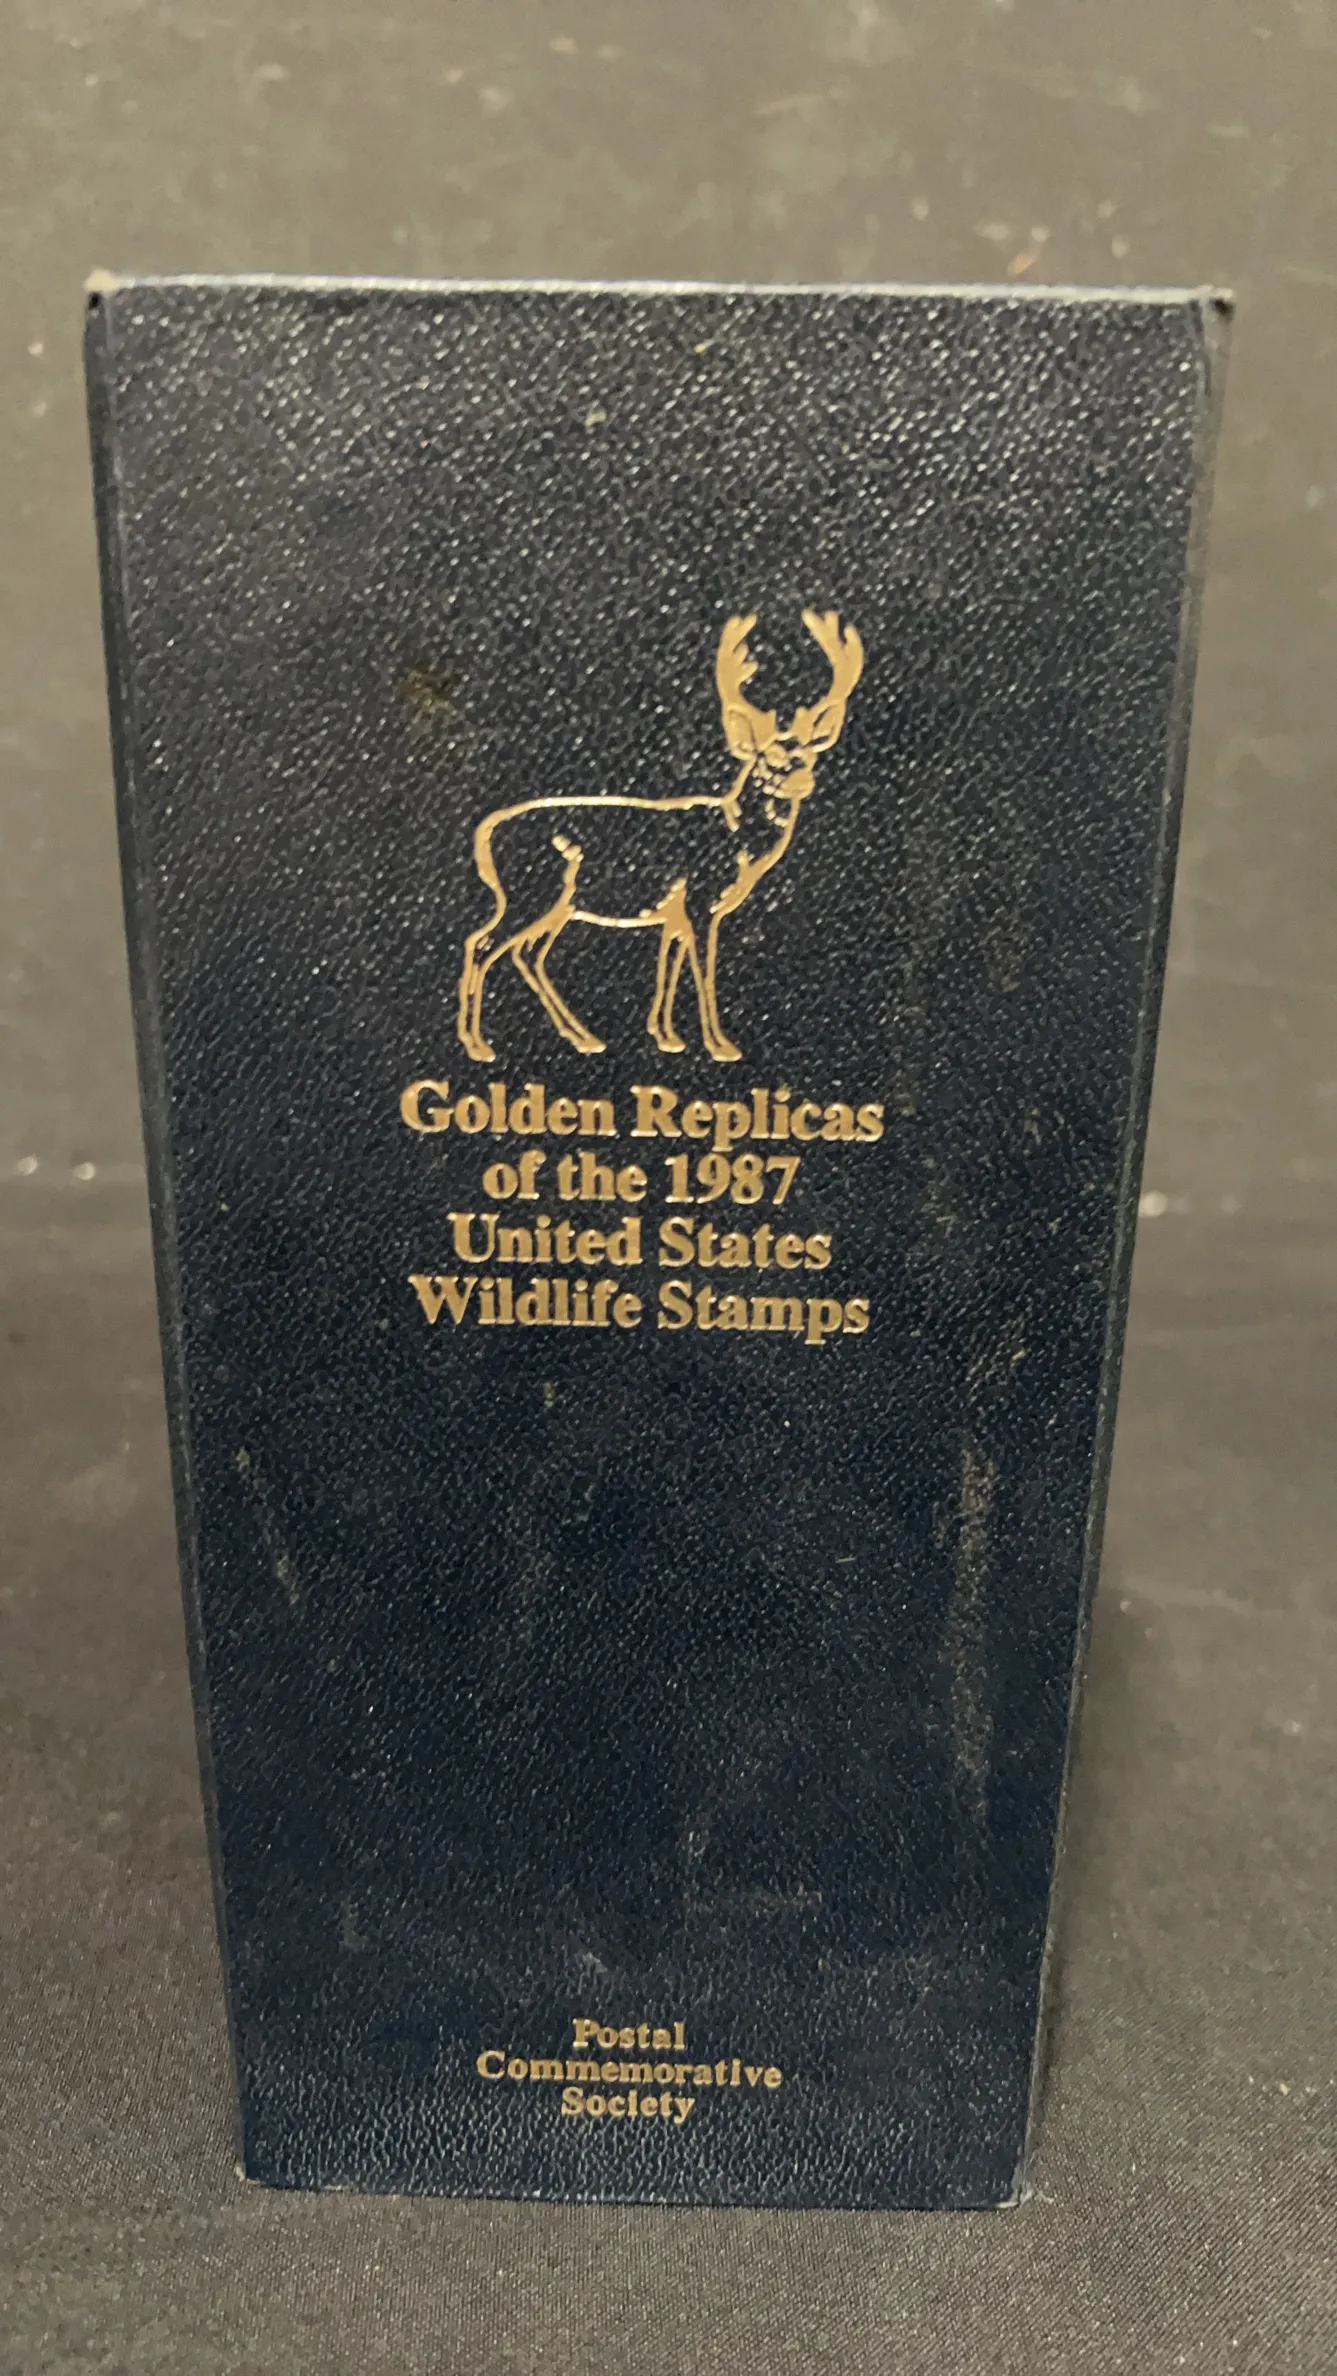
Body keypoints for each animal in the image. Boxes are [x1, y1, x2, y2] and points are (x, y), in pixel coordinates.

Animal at [456, 608, 864, 1064]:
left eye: (810, 756)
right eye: (767, 759)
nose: (802, 783)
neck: (737, 841)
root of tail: (487, 834)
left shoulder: (673, 912)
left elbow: (669, 965)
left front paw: (667, 1036)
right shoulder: (701, 901)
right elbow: (702, 968)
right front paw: (718, 1043)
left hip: (559, 906)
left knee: (527, 954)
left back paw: (582, 1036)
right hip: (529, 894)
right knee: (482, 943)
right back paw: (478, 1044)